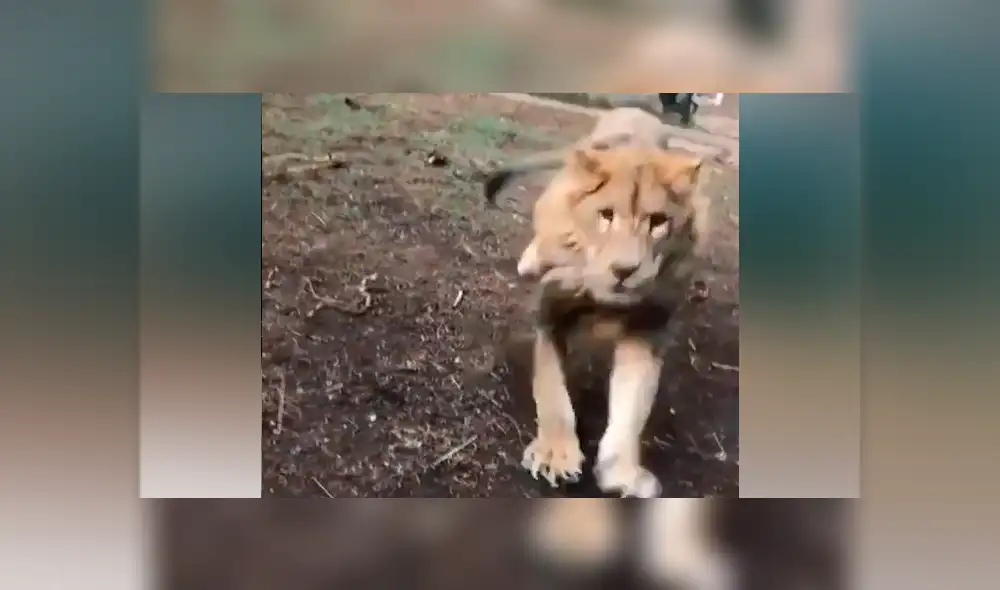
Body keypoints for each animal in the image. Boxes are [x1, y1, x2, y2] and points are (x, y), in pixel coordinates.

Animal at [483, 110, 713, 499]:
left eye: (658, 222)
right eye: (606, 215)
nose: (625, 270)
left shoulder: (647, 329)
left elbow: (632, 404)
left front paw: (622, 471)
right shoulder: (551, 312)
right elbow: (551, 387)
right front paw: (555, 455)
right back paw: (531, 260)